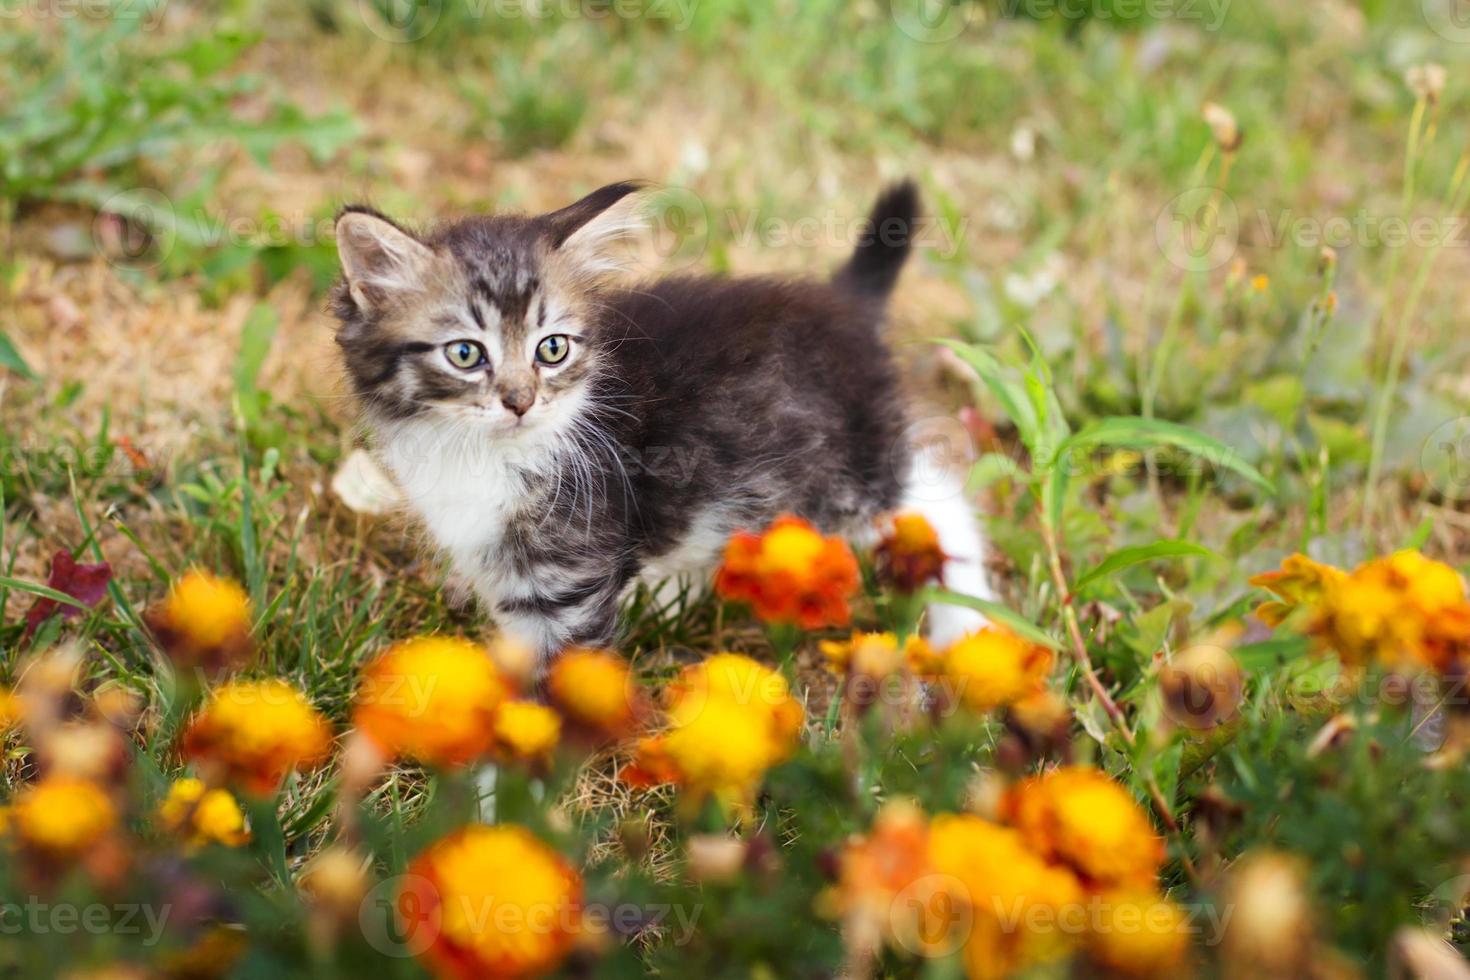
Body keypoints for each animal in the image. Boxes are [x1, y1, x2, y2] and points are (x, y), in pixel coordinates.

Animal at [333, 179, 993, 664]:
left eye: (552, 349)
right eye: (466, 354)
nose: (520, 401)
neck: (478, 454)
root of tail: (846, 305)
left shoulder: (568, 581)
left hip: (850, 475)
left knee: (937, 495)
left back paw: (968, 626)